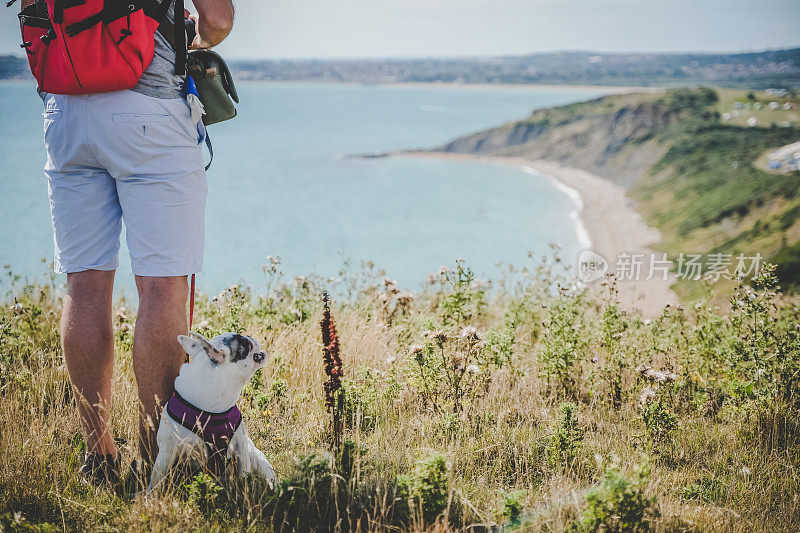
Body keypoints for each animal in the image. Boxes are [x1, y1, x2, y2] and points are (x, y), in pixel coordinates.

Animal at [148, 332, 276, 490]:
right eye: (244, 342)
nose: (248, 336)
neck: (213, 407)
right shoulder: (166, 452)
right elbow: (156, 480)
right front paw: (151, 494)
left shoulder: (241, 448)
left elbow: (243, 476)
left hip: (257, 457)